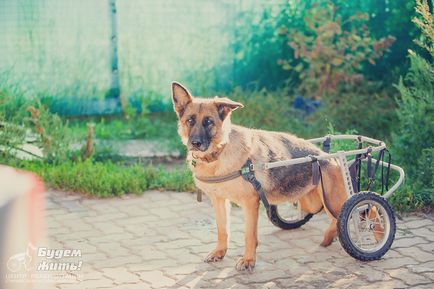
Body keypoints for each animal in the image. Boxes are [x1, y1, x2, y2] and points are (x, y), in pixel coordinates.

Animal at [171, 81, 348, 270]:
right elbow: (222, 230)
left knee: (352, 214)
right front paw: (219, 252)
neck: (220, 153)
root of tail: (328, 156)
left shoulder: (250, 203)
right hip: (312, 203)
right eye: (190, 120)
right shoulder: (219, 201)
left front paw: (248, 260)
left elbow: (249, 235)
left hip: (332, 201)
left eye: (209, 122)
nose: (195, 143)